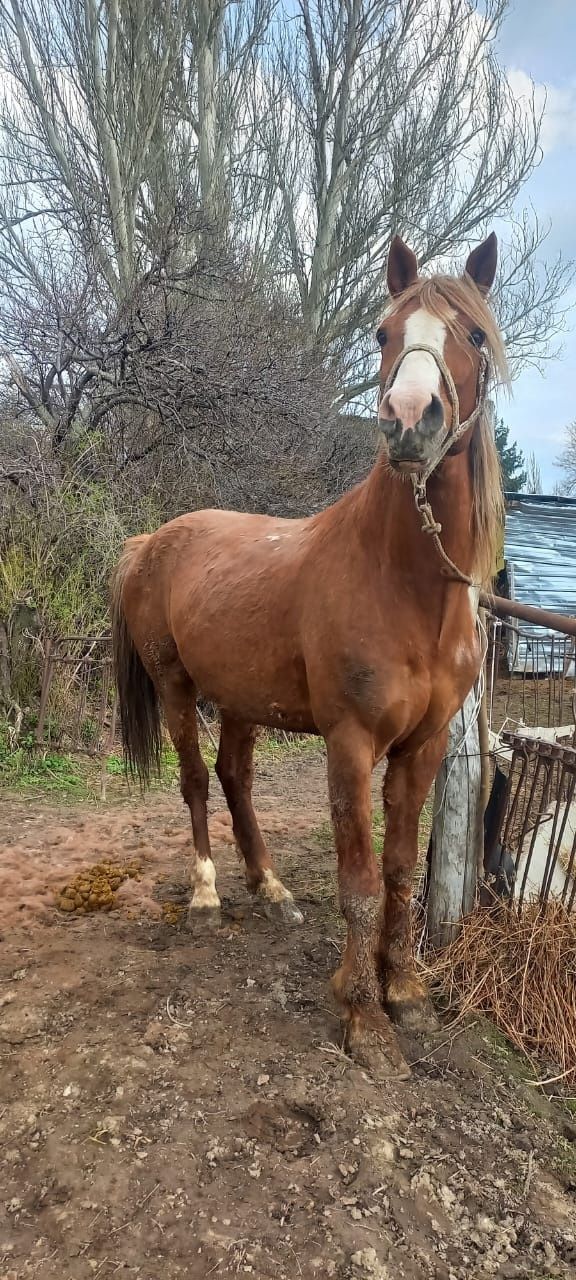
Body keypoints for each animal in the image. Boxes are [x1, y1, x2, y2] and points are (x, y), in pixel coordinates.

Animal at [112, 232, 509, 1080]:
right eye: (384, 334)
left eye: (472, 333)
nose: (409, 419)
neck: (404, 582)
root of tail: (152, 539)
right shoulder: (351, 744)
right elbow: (357, 880)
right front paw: (364, 1019)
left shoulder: (424, 747)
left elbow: (399, 871)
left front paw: (405, 992)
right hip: (176, 688)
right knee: (196, 783)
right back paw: (206, 895)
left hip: (240, 701)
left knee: (234, 777)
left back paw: (270, 887)